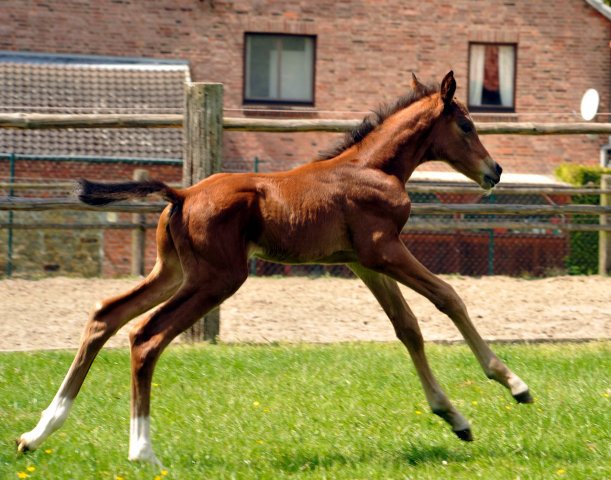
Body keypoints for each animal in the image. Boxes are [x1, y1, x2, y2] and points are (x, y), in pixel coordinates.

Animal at [17, 72, 532, 464]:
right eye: (465, 125)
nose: (496, 171)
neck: (374, 167)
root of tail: (181, 194)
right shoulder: (385, 249)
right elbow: (449, 297)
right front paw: (513, 384)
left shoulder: (362, 262)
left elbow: (407, 328)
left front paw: (455, 418)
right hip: (218, 277)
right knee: (145, 336)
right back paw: (142, 452)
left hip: (174, 272)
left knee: (105, 315)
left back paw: (38, 432)